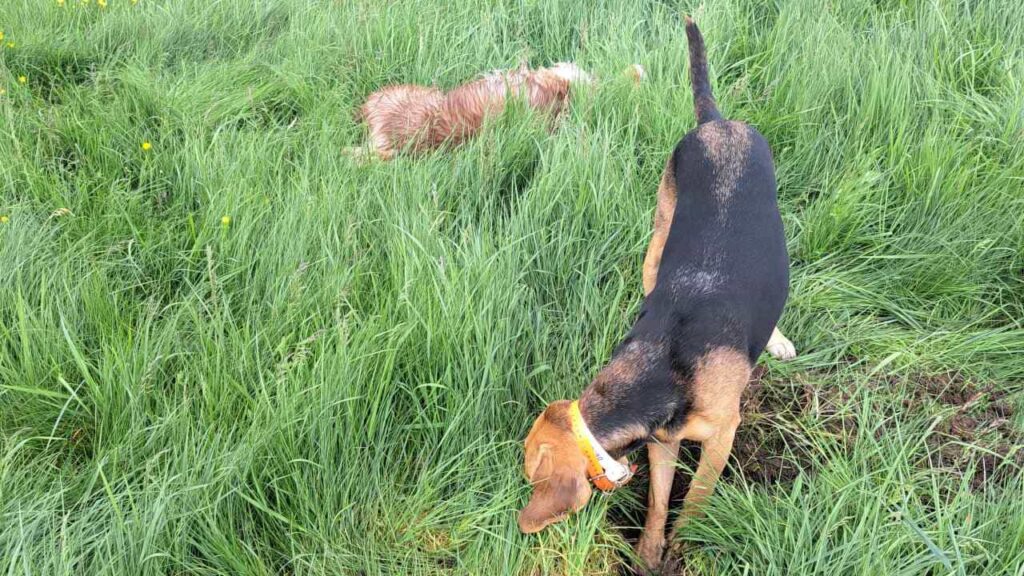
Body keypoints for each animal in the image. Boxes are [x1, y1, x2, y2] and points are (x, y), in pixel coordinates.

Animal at [516, 16, 794, 565]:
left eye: (530, 471)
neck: (663, 365)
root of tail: (717, 122)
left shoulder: (722, 436)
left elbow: (697, 498)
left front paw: (685, 546)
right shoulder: (663, 440)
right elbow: (659, 500)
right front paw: (648, 553)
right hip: (657, 241)